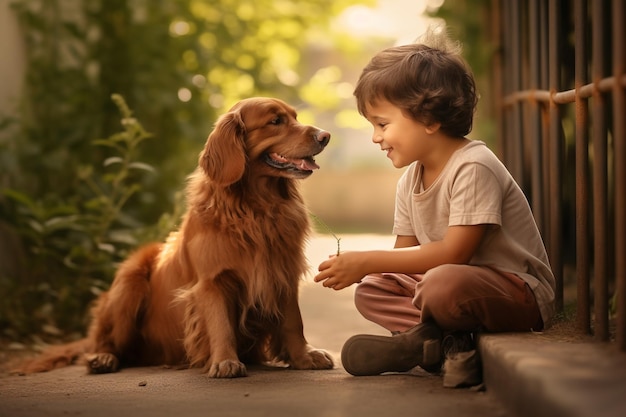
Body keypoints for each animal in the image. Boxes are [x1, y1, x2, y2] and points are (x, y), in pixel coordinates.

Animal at [14, 97, 332, 376]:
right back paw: (102, 358)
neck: (256, 210)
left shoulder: (283, 272)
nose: (325, 136)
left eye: (295, 117)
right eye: (275, 121)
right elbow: (221, 324)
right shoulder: (212, 282)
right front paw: (225, 361)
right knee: (105, 341)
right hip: (129, 283)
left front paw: (303, 357)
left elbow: (293, 322)